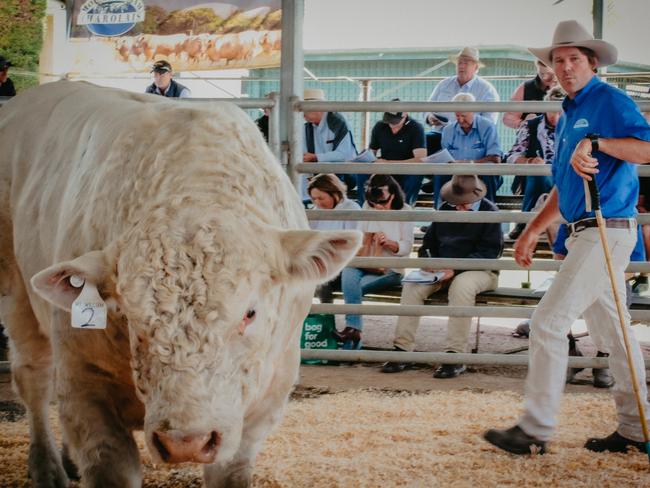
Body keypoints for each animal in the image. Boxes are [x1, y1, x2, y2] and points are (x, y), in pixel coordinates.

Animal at [0, 81, 360, 488]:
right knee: (33, 379)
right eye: (129, 316)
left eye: (250, 313)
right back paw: (46, 466)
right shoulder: (84, 388)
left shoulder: (265, 399)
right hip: (16, 292)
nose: (186, 441)